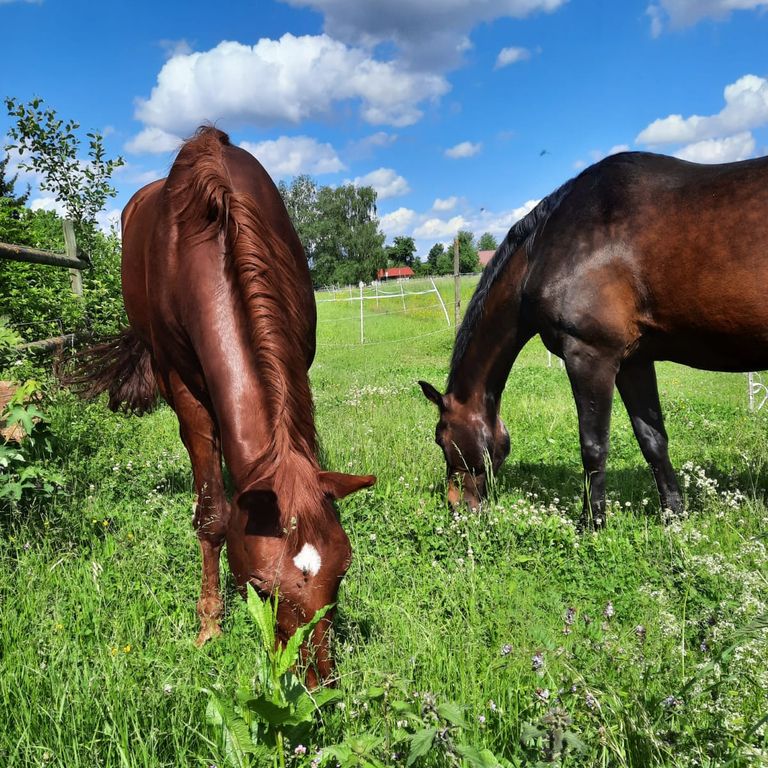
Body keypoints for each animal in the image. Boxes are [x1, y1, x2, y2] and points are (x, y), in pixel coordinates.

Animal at [77, 127, 376, 684]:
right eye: (260, 586)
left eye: (342, 575)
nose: (317, 683)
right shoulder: (184, 390)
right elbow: (213, 514)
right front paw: (210, 625)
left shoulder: (298, 359)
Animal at [420, 153, 768, 532]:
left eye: (441, 438)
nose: (456, 507)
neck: (546, 247)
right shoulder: (633, 362)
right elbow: (653, 439)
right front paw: (673, 516)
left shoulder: (589, 356)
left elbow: (593, 445)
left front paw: (591, 523)